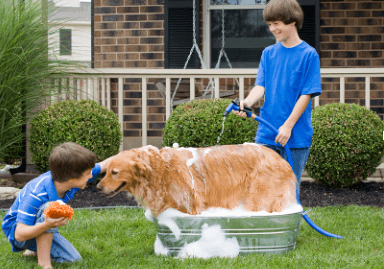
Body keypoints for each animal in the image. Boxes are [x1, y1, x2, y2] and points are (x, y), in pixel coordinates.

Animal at [96, 143, 296, 217]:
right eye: (105, 172)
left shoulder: (191, 207)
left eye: (114, 172)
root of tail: (282, 160)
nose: (97, 187)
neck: (160, 170)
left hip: (259, 199)